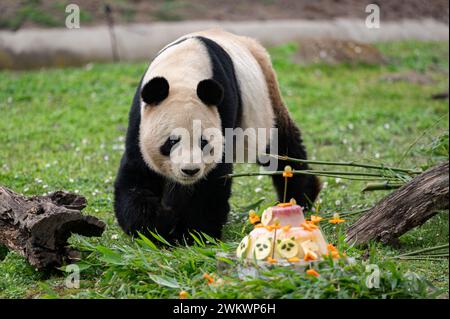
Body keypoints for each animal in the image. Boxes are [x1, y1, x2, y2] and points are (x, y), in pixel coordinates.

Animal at [114, 30, 322, 244]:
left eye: (203, 142)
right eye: (171, 141)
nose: (190, 170)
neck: (182, 72)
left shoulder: (224, 107)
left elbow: (211, 181)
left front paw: (194, 233)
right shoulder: (140, 122)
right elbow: (137, 178)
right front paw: (157, 227)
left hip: (265, 97)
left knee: (281, 146)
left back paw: (300, 197)